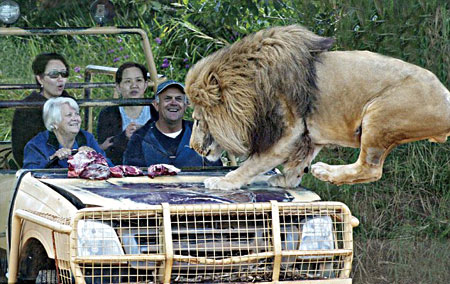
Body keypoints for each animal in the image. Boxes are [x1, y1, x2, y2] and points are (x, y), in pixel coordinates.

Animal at [184, 24, 450, 189]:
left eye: (197, 119)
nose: (193, 147)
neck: (250, 87)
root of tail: (446, 94)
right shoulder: (308, 134)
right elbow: (297, 164)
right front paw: (286, 181)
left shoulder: (288, 130)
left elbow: (254, 163)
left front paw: (224, 182)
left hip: (379, 114)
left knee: (370, 169)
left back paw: (325, 171)